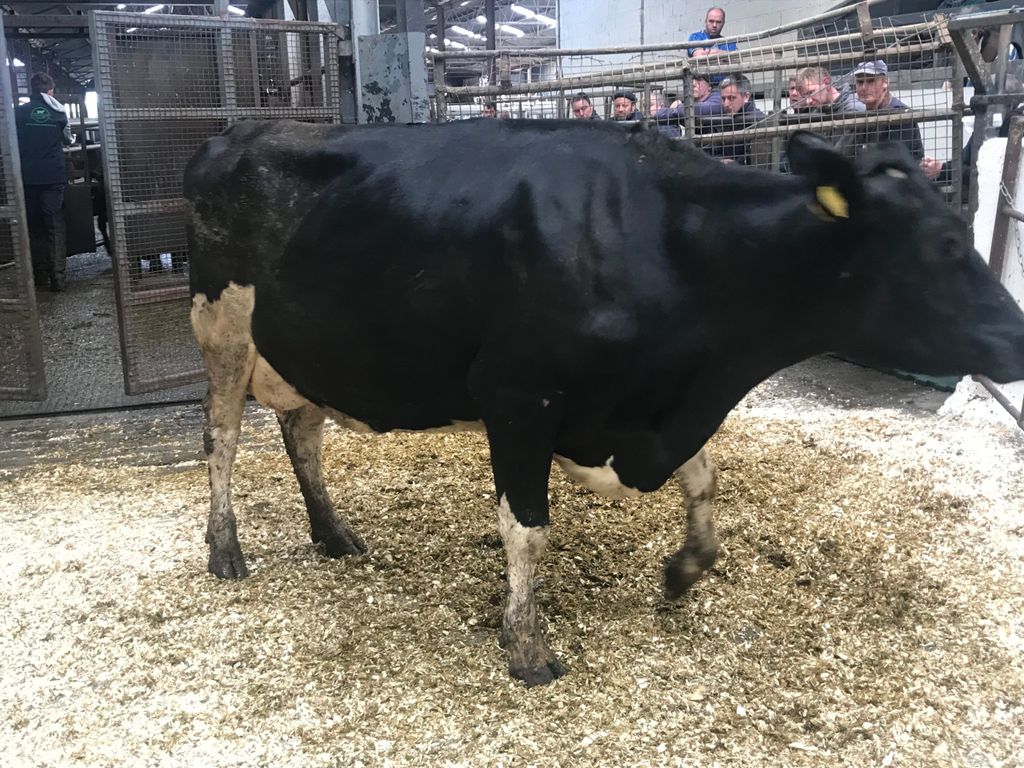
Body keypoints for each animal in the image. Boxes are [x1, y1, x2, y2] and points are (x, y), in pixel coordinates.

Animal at [185, 118, 1024, 686]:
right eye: (946, 246)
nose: (1016, 336)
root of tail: (237, 132)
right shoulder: (518, 396)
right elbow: (527, 529)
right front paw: (527, 647)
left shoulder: (641, 412)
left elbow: (704, 477)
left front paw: (685, 569)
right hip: (221, 325)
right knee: (221, 440)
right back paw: (226, 550)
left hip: (302, 347)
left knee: (301, 431)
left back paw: (333, 534)